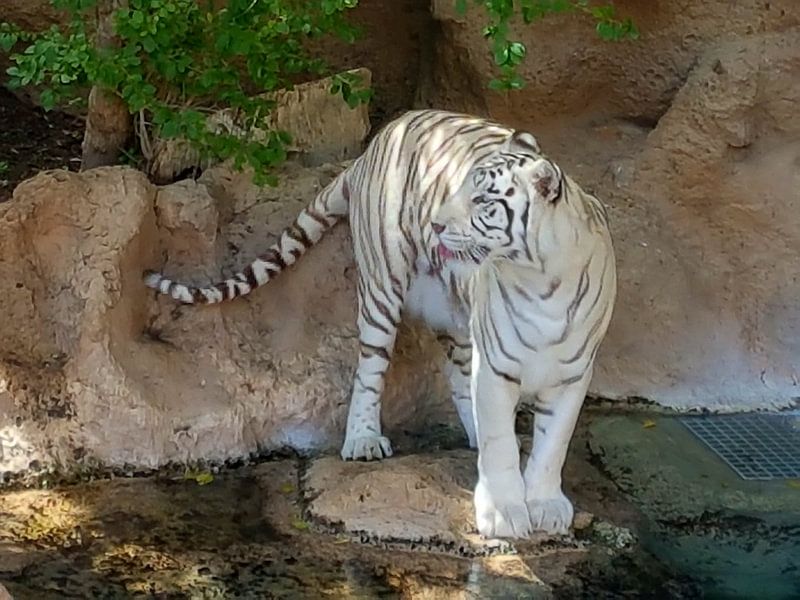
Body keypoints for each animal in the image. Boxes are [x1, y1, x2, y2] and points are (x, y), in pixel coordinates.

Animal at [145, 109, 620, 540]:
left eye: (483, 201)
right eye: (463, 188)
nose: (437, 224)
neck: (539, 279)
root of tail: (375, 143)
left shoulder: (573, 373)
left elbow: (552, 445)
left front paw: (546, 506)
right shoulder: (498, 366)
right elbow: (501, 443)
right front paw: (503, 513)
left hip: (453, 311)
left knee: (456, 373)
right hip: (382, 287)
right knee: (370, 369)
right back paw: (363, 442)